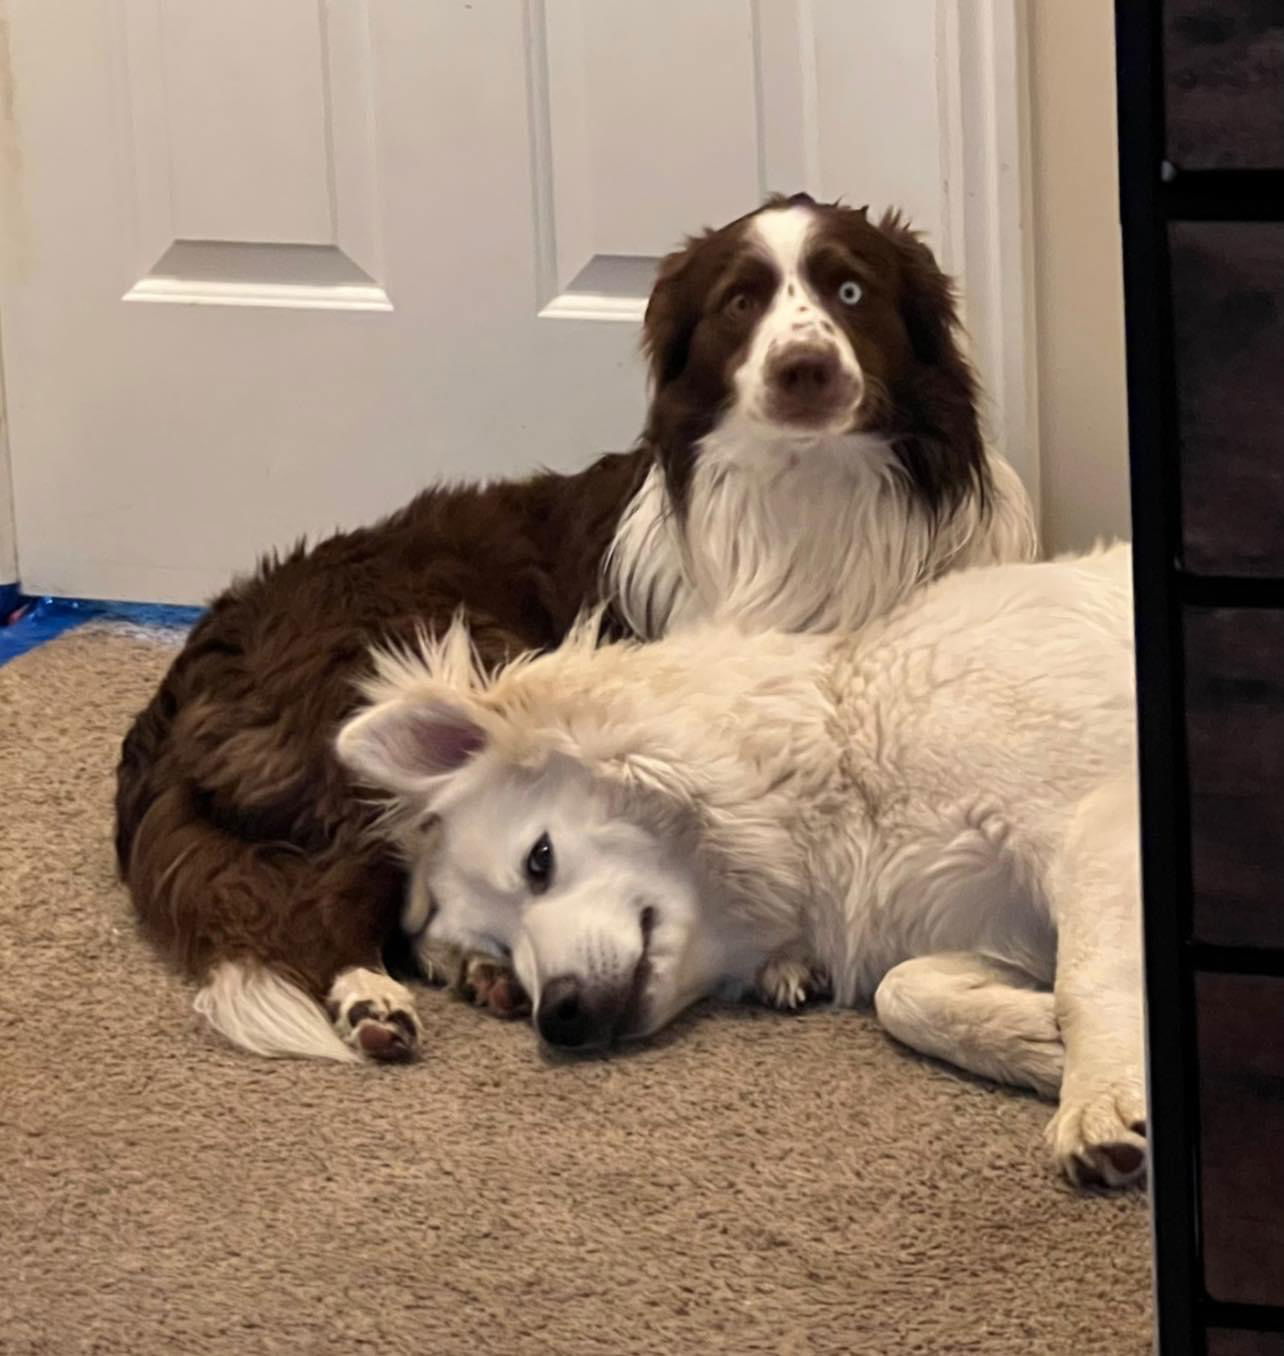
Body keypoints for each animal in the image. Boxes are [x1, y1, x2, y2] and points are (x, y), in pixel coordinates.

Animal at [115, 191, 1041, 1063]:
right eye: (740, 303)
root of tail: (208, 641)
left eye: (851, 291)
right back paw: (374, 1000)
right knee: (330, 908)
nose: (803, 369)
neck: (813, 497)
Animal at [338, 545, 1144, 1182]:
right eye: (499, 949)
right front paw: (1039, 1038)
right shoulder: (977, 927)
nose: (557, 1018)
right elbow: (906, 995)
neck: (842, 754)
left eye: (540, 860)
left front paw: (1100, 1094)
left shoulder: (1093, 824)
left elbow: (1085, 977)